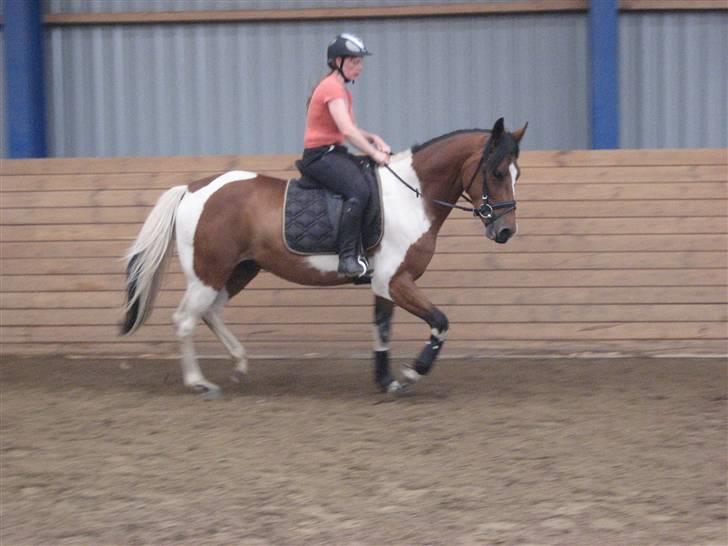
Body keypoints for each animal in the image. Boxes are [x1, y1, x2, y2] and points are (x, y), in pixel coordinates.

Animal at [122, 117, 528, 398]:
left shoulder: (384, 284)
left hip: (239, 270)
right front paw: (413, 373)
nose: (505, 232)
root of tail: (192, 189)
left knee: (211, 312)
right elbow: (440, 322)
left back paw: (239, 365)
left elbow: (382, 330)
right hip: (208, 271)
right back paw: (199, 383)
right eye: (495, 172)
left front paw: (387, 381)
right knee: (185, 320)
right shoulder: (395, 280)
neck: (412, 196)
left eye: (517, 173)